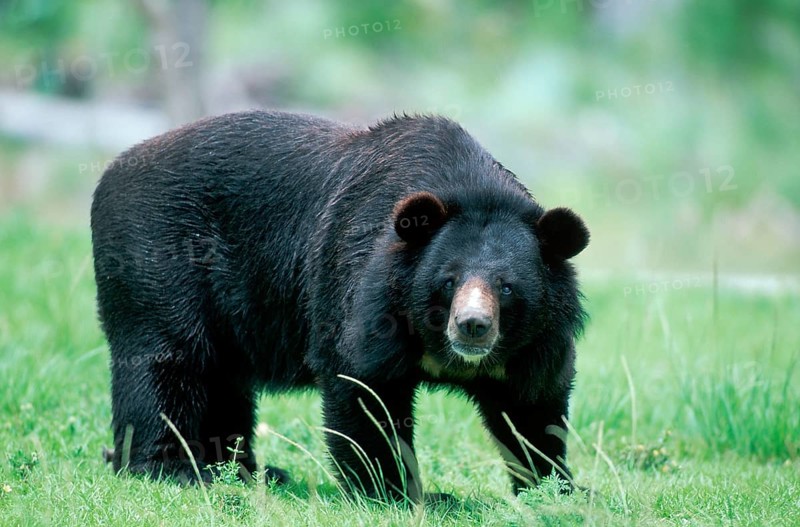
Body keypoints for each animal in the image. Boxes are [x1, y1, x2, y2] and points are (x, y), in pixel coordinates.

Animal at [91, 110, 589, 503]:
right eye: (447, 282)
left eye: (507, 288)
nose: (472, 327)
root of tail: (111, 171)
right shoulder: (366, 290)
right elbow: (364, 386)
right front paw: (395, 492)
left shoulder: (534, 342)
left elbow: (533, 405)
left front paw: (558, 488)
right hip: (159, 258)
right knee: (167, 362)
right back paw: (172, 468)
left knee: (223, 379)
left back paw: (245, 470)